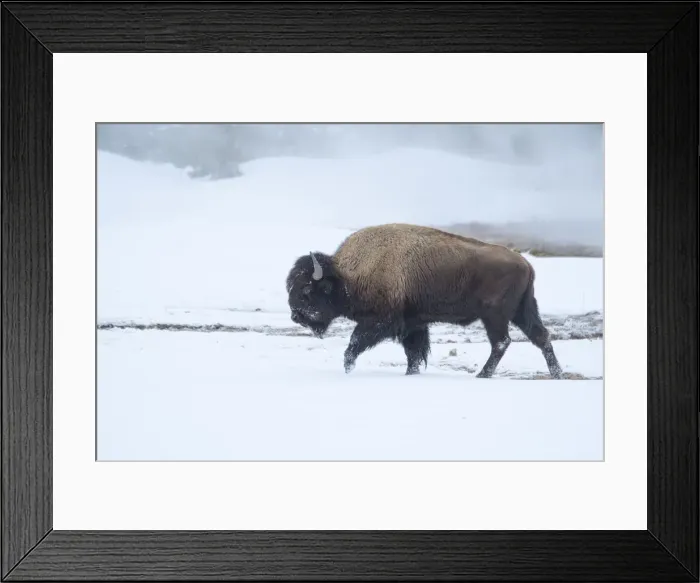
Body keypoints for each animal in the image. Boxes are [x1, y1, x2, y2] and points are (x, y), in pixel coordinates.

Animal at [285, 223, 563, 379]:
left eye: (307, 290)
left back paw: (482, 375)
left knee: (501, 342)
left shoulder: (380, 322)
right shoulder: (413, 323)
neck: (347, 275)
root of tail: (526, 263)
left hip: (495, 316)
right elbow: (414, 353)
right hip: (522, 310)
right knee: (540, 337)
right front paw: (411, 374)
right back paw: (557, 374)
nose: (296, 316)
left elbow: (353, 345)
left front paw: (348, 369)